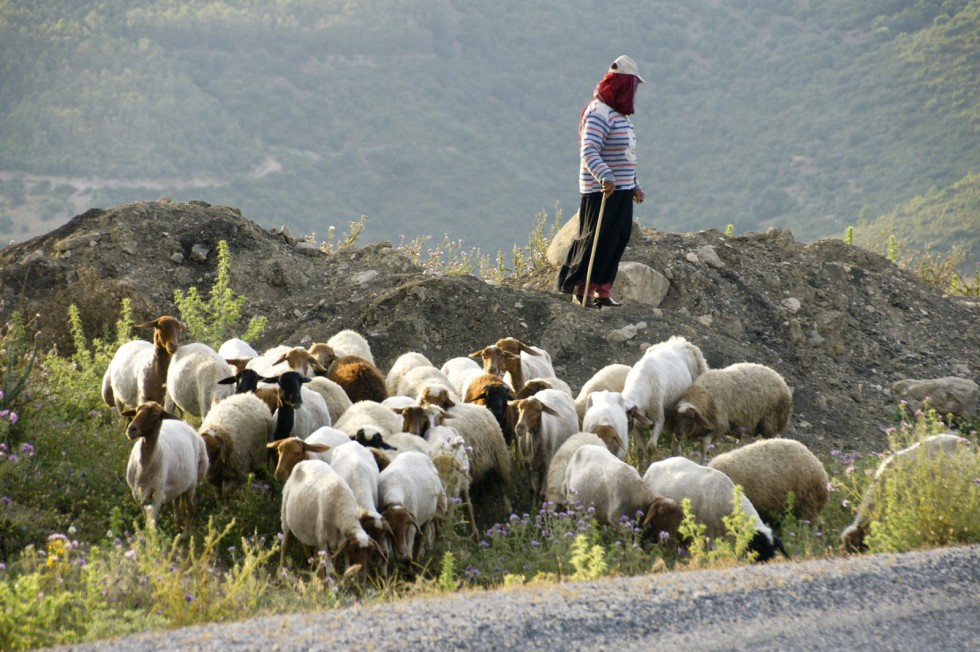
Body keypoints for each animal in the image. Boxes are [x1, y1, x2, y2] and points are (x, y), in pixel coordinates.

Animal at [121, 400, 208, 532]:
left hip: (192, 482)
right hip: (178, 483)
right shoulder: (137, 493)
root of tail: (187, 425)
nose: (131, 429)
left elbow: (152, 520)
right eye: (136, 411)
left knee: (191, 507)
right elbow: (146, 516)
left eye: (155, 415)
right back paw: (177, 525)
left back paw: (186, 533)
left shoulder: (158, 492)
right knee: (177, 503)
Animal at [620, 334, 704, 466]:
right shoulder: (637, 425)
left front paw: (648, 466)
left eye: (627, 422)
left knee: (677, 442)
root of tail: (679, 340)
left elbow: (651, 447)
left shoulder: (659, 419)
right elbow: (640, 450)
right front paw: (640, 467)